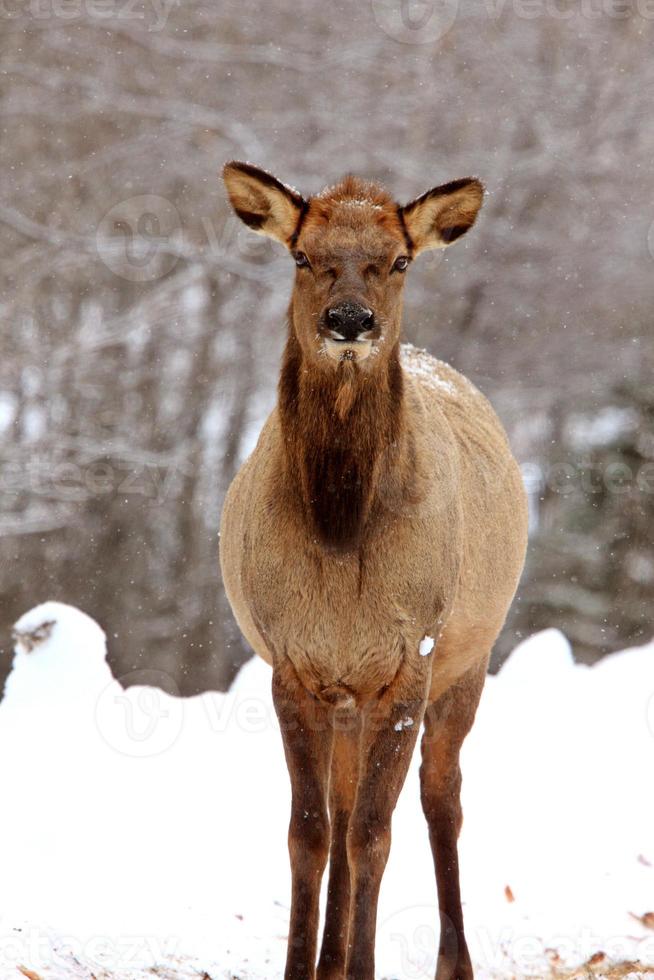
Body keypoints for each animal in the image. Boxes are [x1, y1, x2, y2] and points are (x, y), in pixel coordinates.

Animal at [223, 163, 532, 980]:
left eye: (399, 261)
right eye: (302, 255)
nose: (351, 321)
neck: (340, 536)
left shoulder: (409, 658)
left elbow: (373, 831)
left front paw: (360, 966)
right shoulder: (293, 660)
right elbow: (309, 830)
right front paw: (305, 967)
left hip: (467, 659)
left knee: (440, 799)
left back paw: (453, 961)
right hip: (347, 695)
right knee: (340, 806)